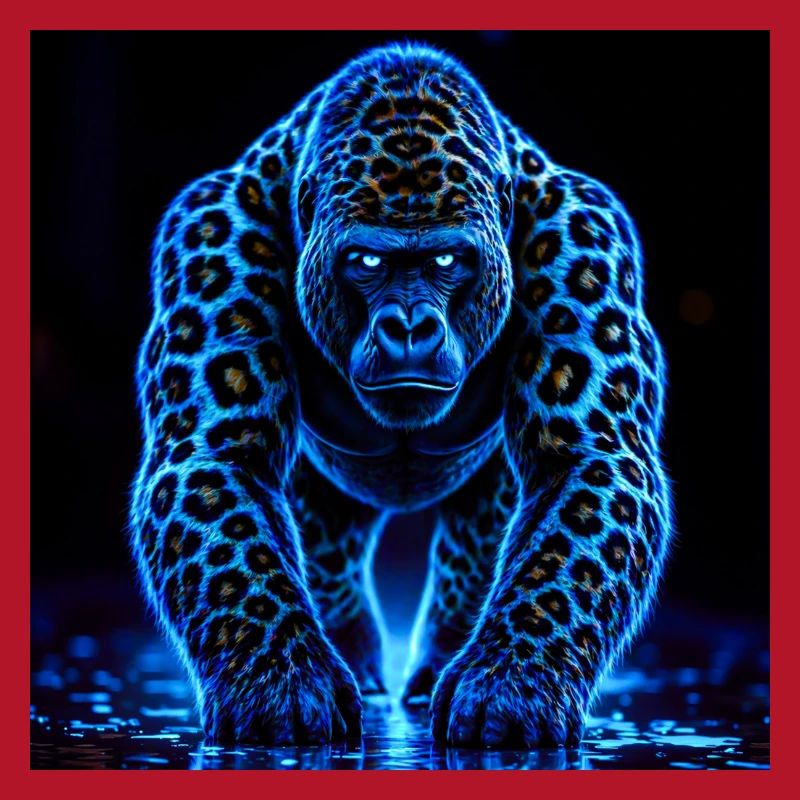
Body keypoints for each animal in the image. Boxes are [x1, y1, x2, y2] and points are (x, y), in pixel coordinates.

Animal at [129, 41, 672, 748]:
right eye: (367, 262)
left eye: (445, 261)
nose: (409, 326)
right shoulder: (212, 236)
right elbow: (225, 493)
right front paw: (281, 682)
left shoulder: (586, 240)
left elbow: (578, 487)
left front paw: (511, 683)